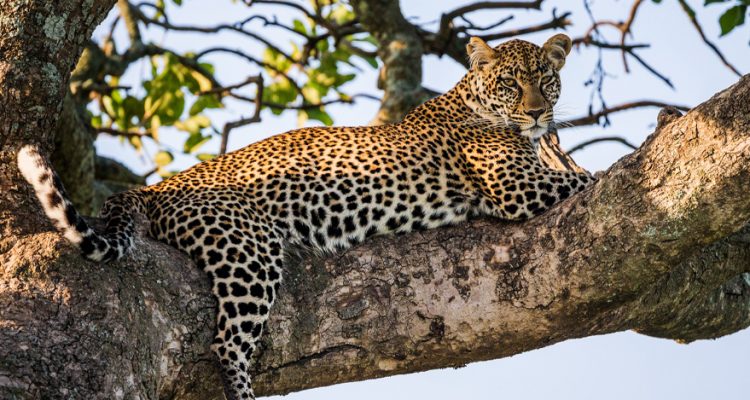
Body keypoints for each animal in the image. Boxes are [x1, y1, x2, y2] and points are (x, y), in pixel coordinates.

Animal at [18, 34, 593, 399]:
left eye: (547, 78)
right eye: (511, 83)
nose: (539, 112)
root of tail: (156, 188)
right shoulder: (517, 187)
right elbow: (590, 178)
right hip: (249, 252)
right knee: (228, 344)